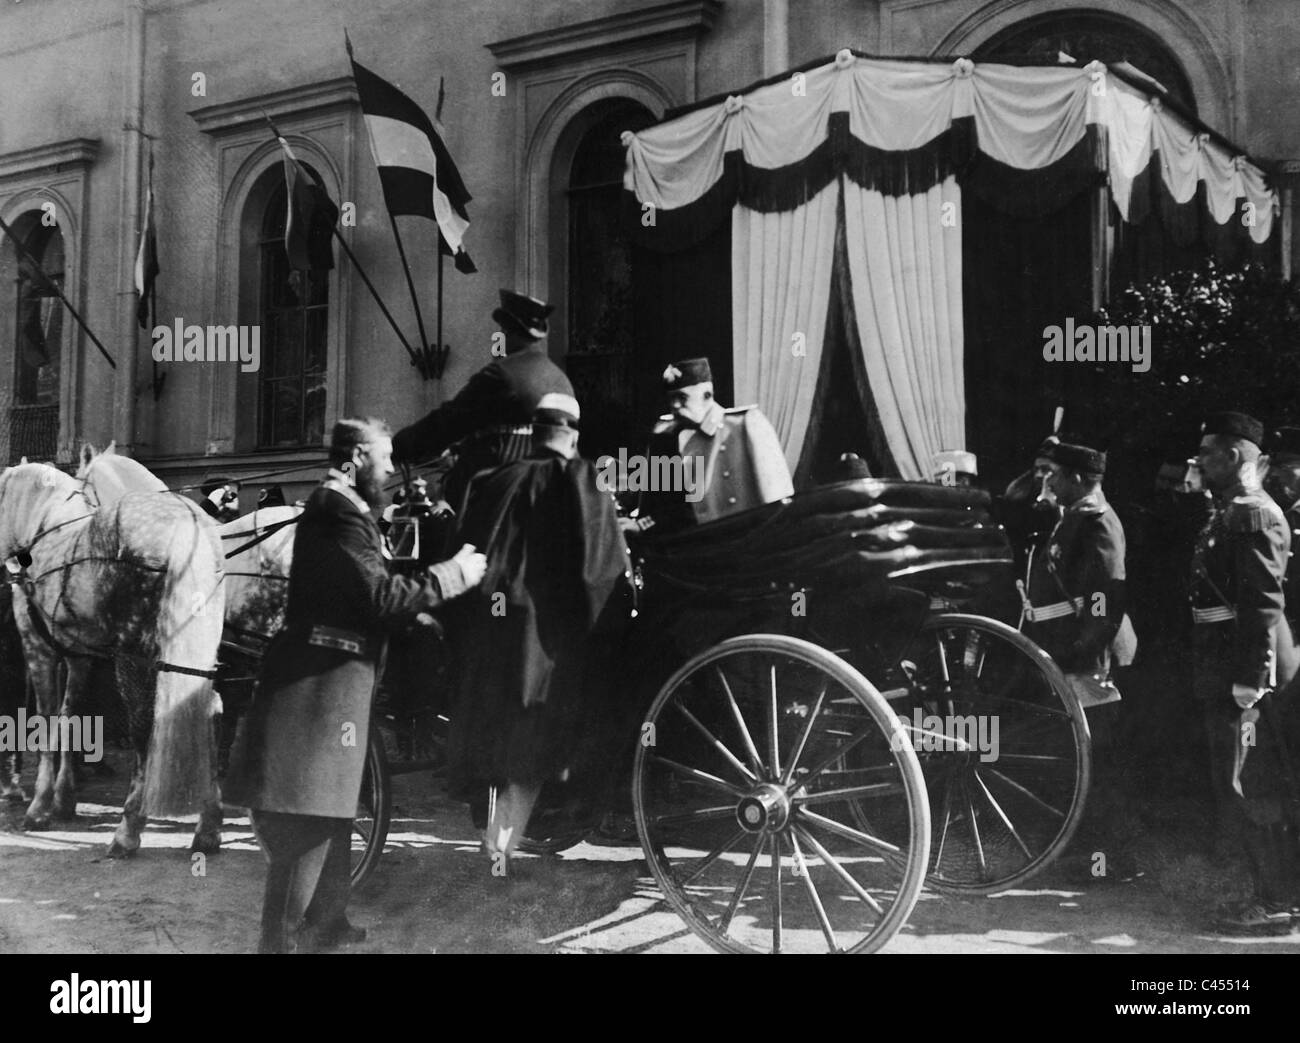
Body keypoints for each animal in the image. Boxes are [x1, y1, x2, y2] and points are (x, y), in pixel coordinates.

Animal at [0, 462, 224, 853]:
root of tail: (187, 519)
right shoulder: (79, 658)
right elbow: (69, 716)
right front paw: (64, 798)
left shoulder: (38, 650)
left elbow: (47, 720)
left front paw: (40, 805)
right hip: (196, 661)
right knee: (207, 711)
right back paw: (208, 826)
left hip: (136, 657)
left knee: (145, 727)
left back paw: (128, 829)